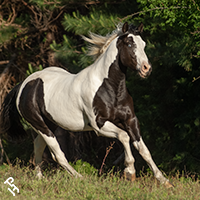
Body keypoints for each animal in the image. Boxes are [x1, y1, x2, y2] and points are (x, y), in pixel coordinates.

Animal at [0, 22, 173, 188]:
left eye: (143, 44)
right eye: (130, 44)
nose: (146, 69)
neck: (109, 88)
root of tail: (23, 85)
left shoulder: (130, 120)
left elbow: (143, 150)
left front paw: (164, 181)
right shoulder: (99, 125)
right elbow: (124, 136)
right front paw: (129, 172)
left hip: (49, 125)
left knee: (38, 145)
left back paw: (39, 177)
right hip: (41, 126)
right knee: (58, 154)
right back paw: (80, 178)